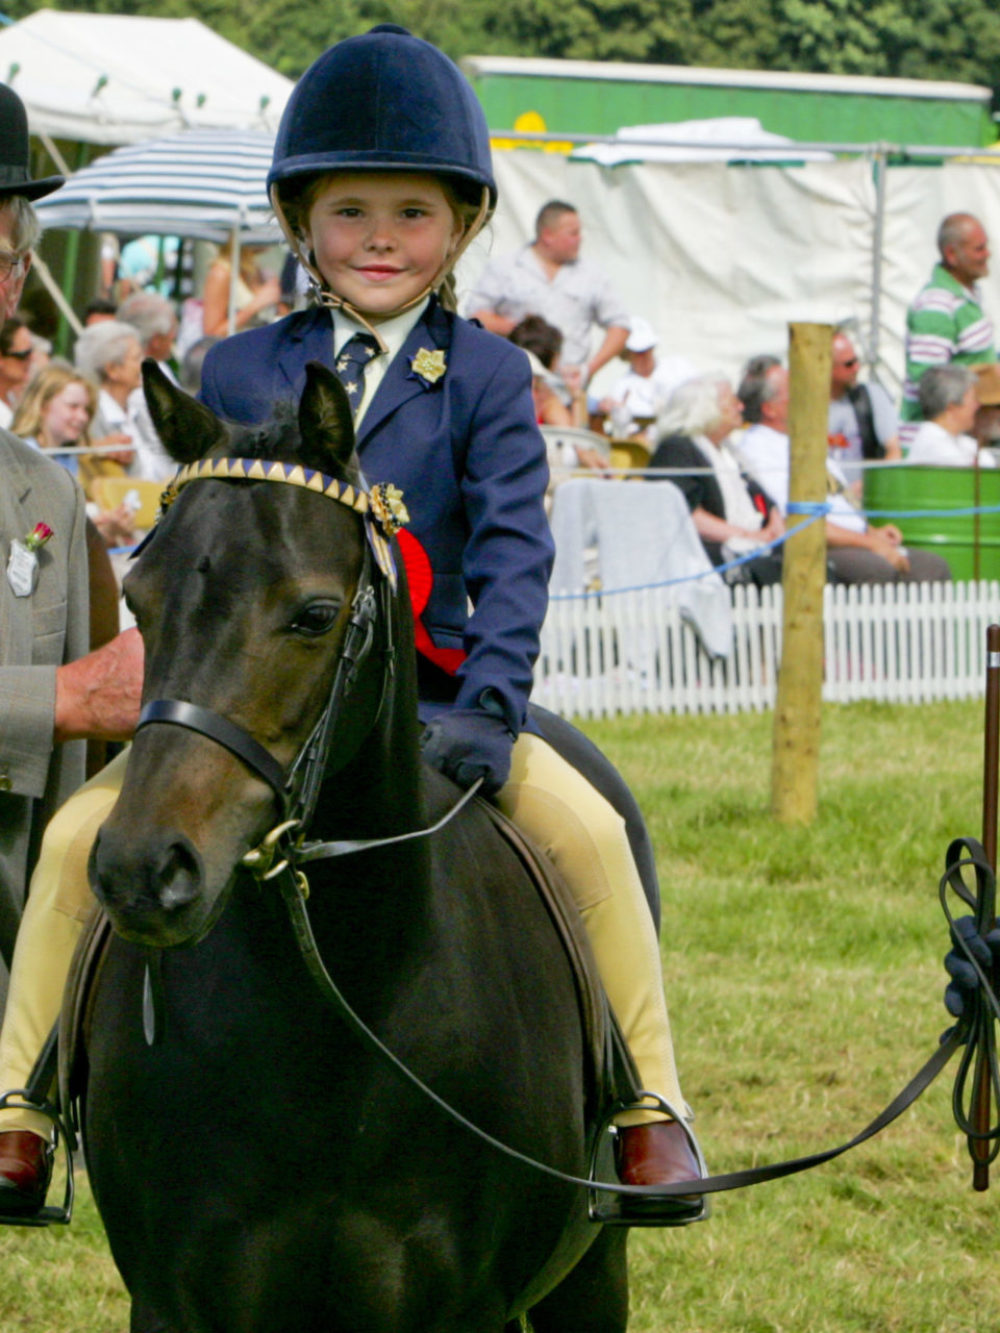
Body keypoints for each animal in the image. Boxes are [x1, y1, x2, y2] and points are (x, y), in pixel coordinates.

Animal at [82, 362, 629, 1333]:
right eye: (139, 600)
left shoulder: (464, 1307)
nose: (141, 871)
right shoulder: (174, 1300)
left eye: (314, 614)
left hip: (592, 1275)